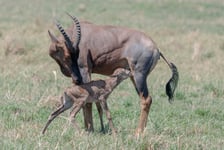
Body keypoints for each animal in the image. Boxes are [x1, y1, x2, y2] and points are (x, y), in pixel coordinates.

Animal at [48, 14, 178, 135]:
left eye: (76, 54)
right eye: (67, 55)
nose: (77, 78)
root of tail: (157, 49)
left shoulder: (85, 70)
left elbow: (88, 102)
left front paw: (89, 130)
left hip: (139, 75)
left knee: (146, 99)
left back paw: (137, 133)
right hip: (133, 76)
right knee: (146, 99)